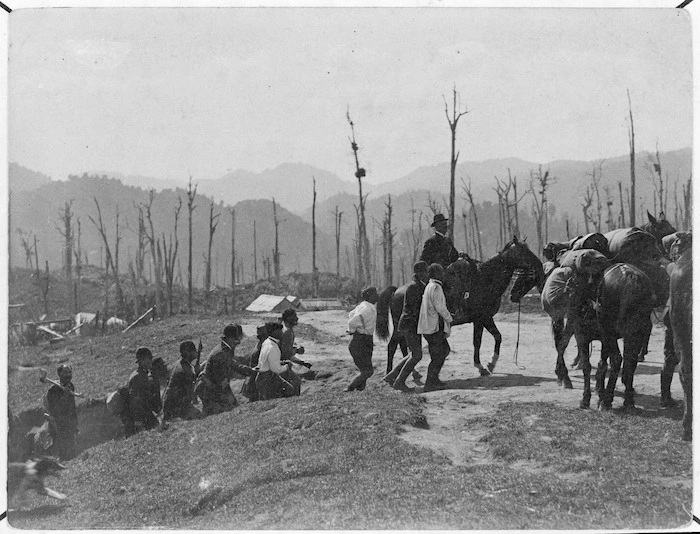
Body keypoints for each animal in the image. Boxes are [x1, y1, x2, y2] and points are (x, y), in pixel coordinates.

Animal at [378, 237, 548, 378]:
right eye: (523, 251)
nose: (539, 264)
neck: (484, 279)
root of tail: (397, 290)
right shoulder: (481, 319)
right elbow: (478, 342)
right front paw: (482, 366)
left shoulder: (485, 318)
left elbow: (497, 337)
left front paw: (491, 364)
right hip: (401, 327)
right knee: (393, 346)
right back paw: (390, 372)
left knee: (402, 346)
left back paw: (412, 373)